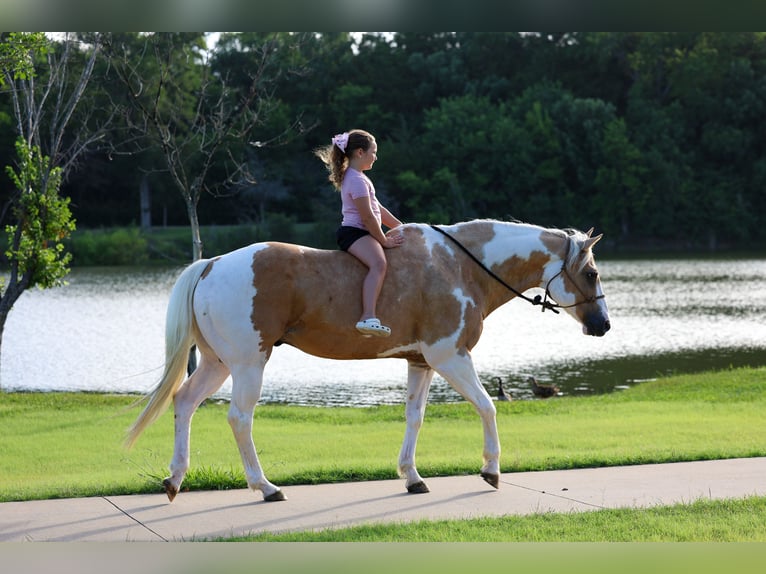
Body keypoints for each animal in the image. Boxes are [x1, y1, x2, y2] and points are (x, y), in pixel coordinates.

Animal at [125, 219, 610, 502]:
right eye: (591, 273)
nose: (603, 325)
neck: (458, 266)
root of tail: (212, 263)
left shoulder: (421, 362)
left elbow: (414, 418)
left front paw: (412, 477)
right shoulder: (450, 356)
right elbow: (487, 406)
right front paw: (491, 470)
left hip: (217, 362)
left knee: (185, 403)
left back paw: (175, 479)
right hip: (248, 364)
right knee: (239, 419)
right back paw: (265, 487)